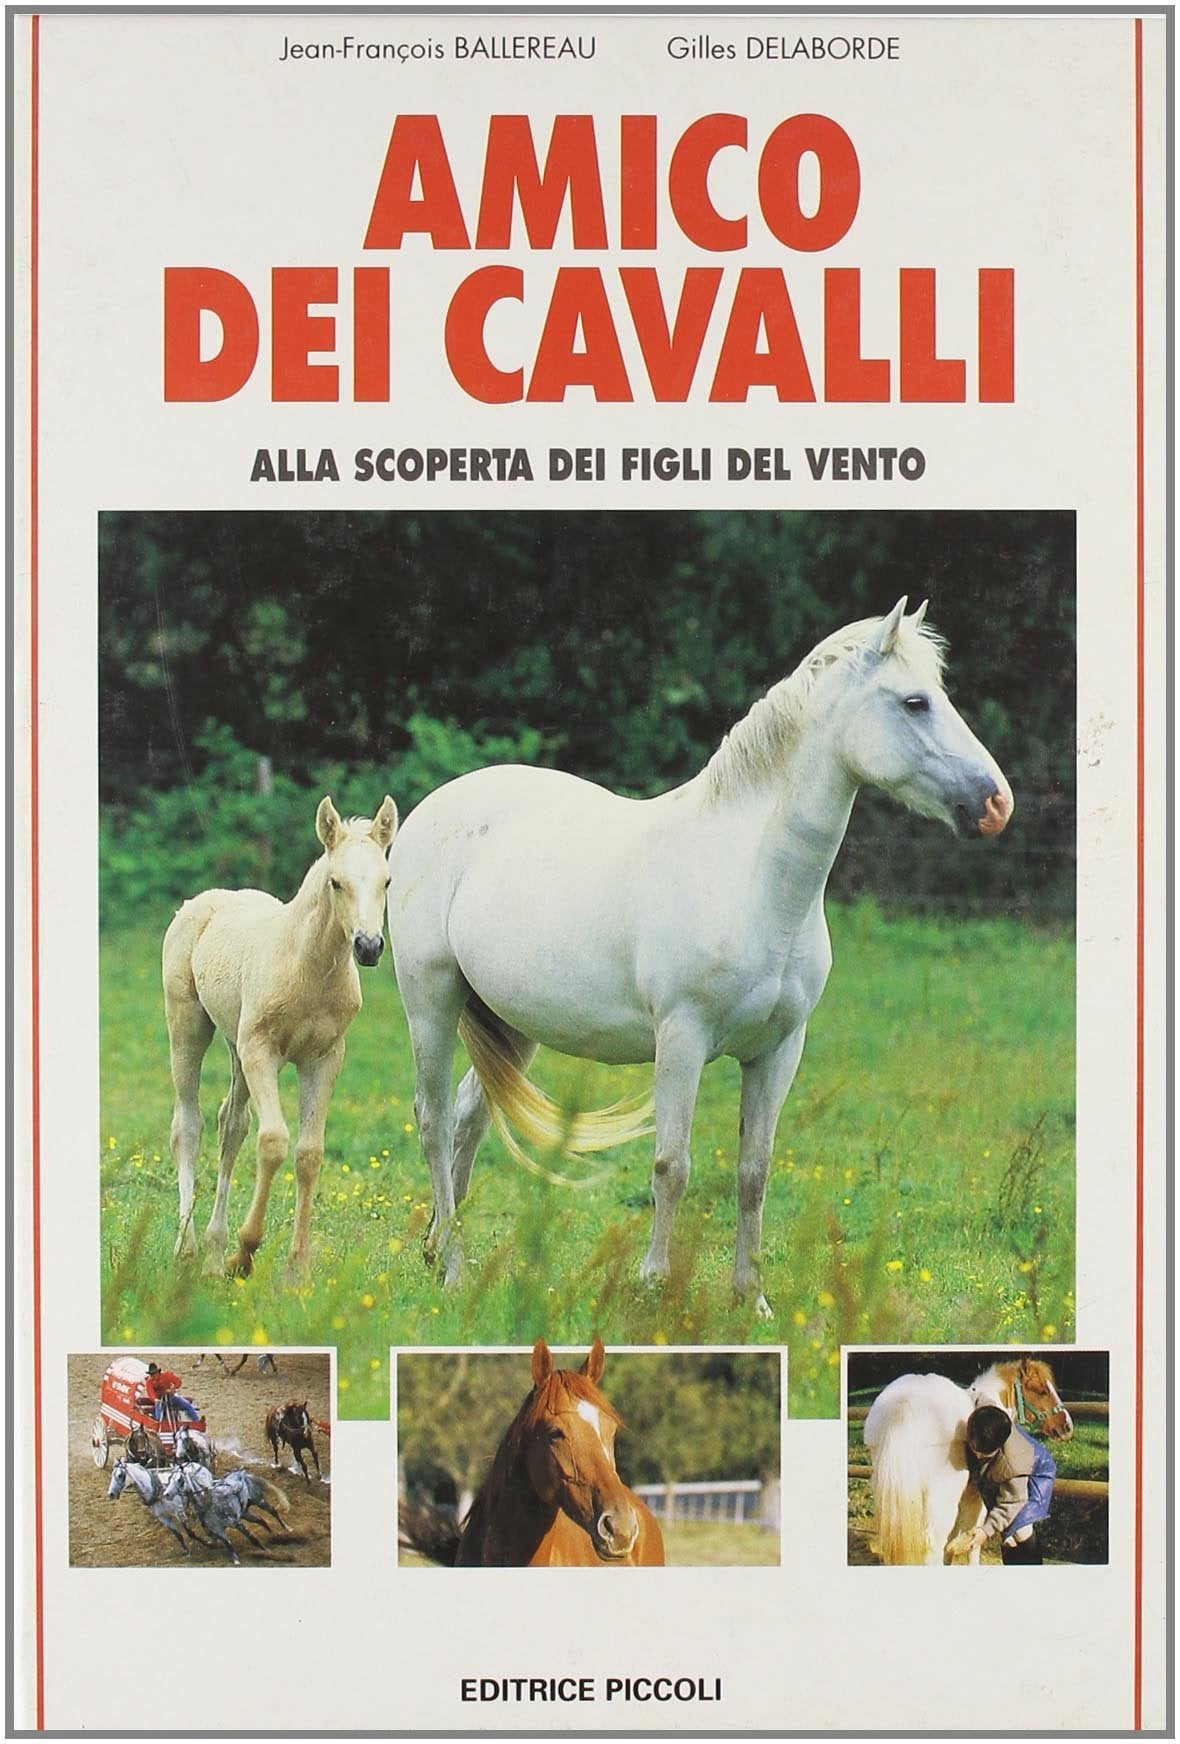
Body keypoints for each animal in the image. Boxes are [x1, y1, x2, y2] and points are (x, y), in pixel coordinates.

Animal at [164, 794, 398, 1277]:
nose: (368, 947)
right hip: (188, 1027)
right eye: (335, 883)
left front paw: (297, 1267)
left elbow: (309, 1154)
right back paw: (188, 1248)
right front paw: (244, 1251)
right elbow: (272, 1141)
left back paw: (213, 1253)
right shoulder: (262, 1051)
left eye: (387, 880)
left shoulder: (324, 1058)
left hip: (234, 1046)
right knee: (188, 1126)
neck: (308, 968)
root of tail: (203, 901)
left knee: (230, 1126)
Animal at [386, 600, 1012, 1310]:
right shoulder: (682, 1038)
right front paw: (654, 1286)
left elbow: (753, 1171)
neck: (753, 879)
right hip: (432, 1003)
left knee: (469, 1118)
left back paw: (440, 1250)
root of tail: (434, 808)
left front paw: (752, 1298)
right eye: (914, 702)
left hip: (511, 1023)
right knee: (434, 1119)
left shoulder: (779, 1050)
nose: (996, 803)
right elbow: (672, 1166)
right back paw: (455, 1269)